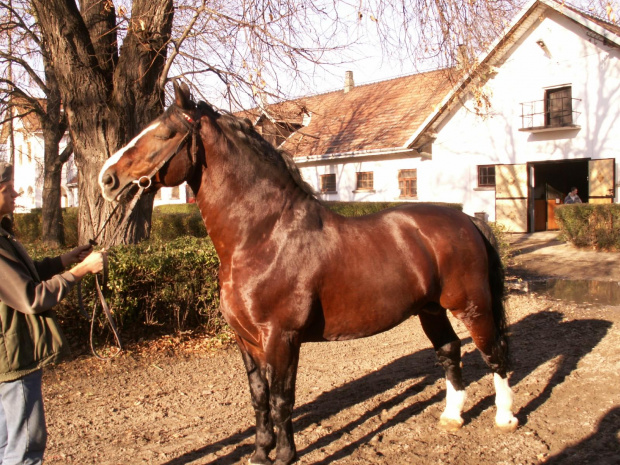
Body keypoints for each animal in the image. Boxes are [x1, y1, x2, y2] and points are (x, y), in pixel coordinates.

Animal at [99, 81, 520, 462]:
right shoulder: (247, 341)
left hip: (473, 307)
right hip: (431, 310)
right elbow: (259, 398)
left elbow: (282, 399)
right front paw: (260, 453)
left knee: (495, 354)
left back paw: (505, 418)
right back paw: (452, 417)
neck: (263, 236)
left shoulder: (281, 338)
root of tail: (466, 219)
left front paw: (285, 455)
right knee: (450, 352)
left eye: (165, 133)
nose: (108, 178)